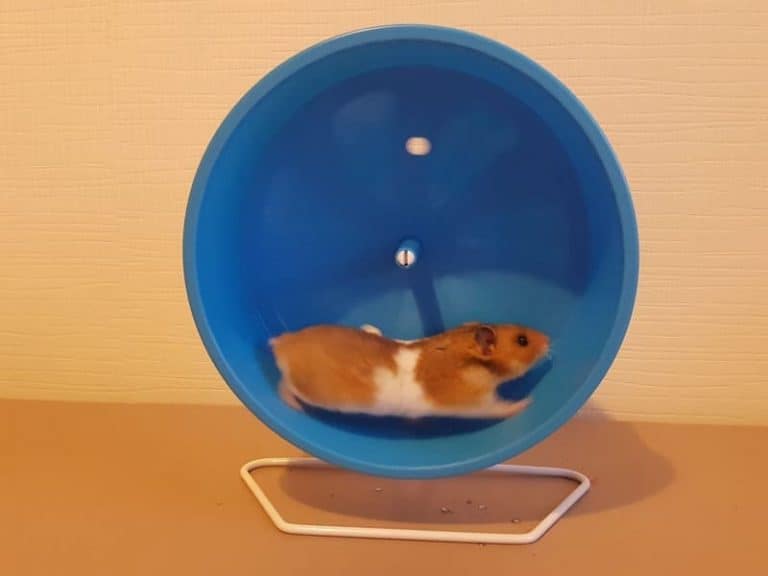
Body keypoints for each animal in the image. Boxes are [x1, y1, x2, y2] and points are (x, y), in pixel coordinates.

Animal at [269, 322, 550, 420]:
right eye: (522, 340)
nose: (549, 340)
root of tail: (282, 343)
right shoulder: (478, 403)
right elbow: (501, 407)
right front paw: (527, 402)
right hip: (306, 389)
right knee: (282, 385)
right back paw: (295, 407)